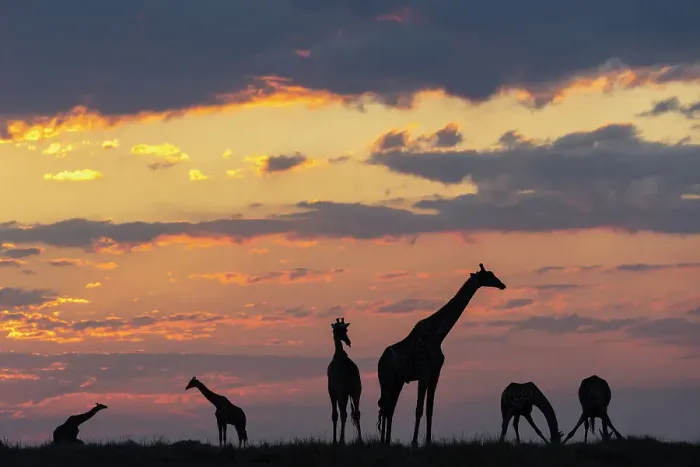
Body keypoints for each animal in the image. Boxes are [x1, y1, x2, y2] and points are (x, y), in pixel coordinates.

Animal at [376, 263, 507, 446]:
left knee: (389, 408)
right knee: (385, 407)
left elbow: (430, 409)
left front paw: (428, 441)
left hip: (398, 381)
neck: (438, 335)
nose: (502, 285)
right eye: (489, 275)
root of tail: (380, 361)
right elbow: (419, 409)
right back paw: (383, 441)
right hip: (386, 380)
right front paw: (414, 442)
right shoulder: (424, 373)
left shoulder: (435, 373)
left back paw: (387, 441)